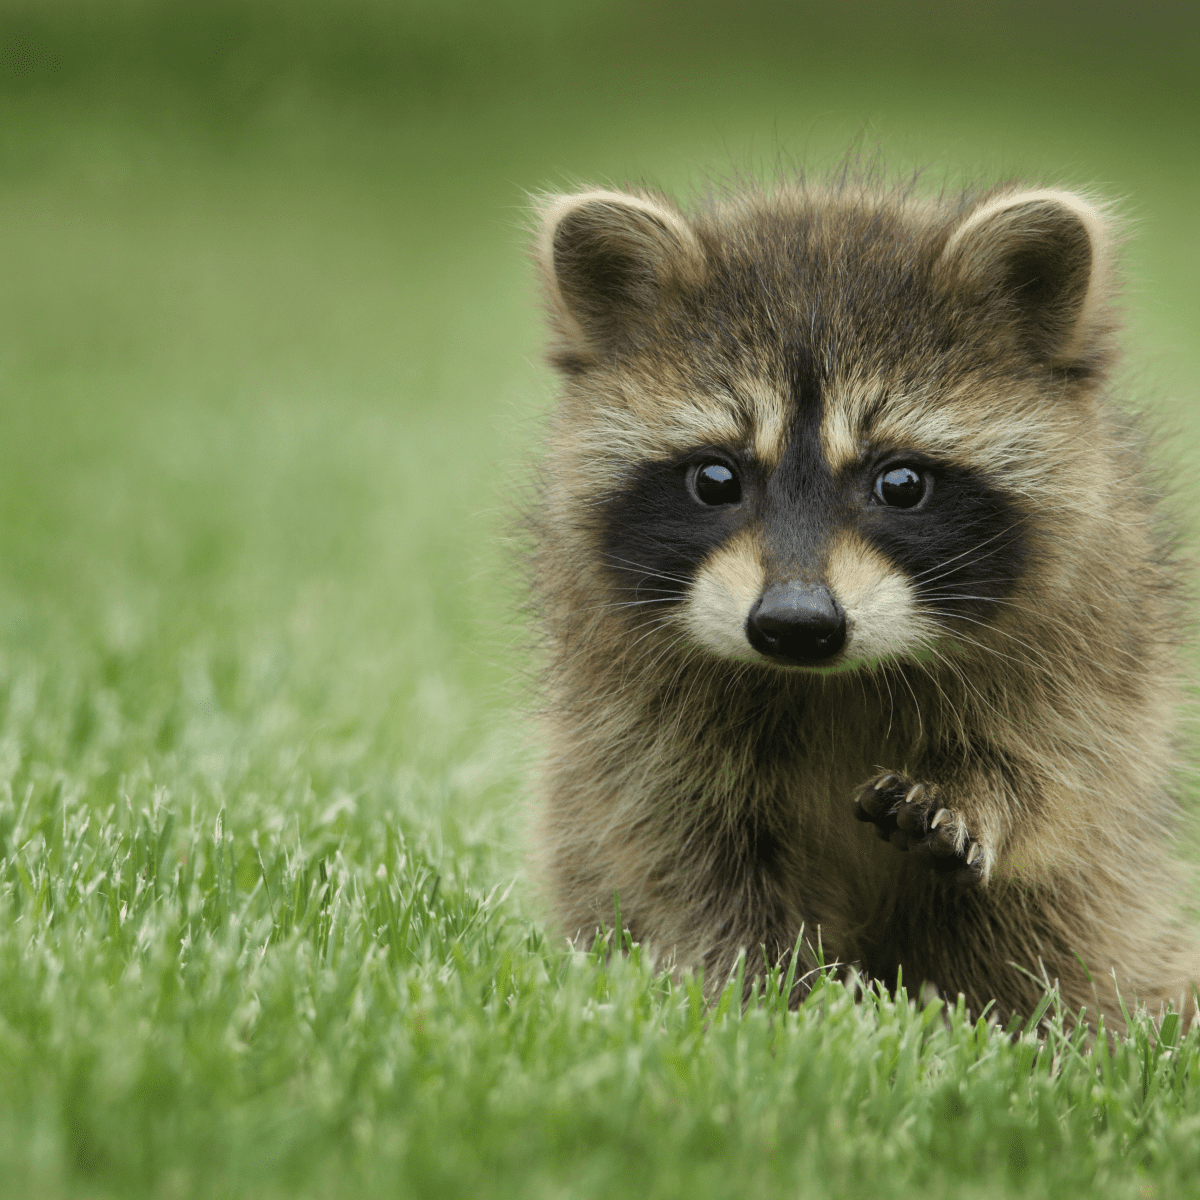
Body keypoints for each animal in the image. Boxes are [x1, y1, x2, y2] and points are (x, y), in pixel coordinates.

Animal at [528, 174, 1200, 1026]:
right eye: (716, 479)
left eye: (901, 483)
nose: (795, 625)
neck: (828, 682)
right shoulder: (633, 713)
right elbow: (683, 852)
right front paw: (762, 998)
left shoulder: (1091, 637)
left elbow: (1059, 772)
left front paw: (980, 792)